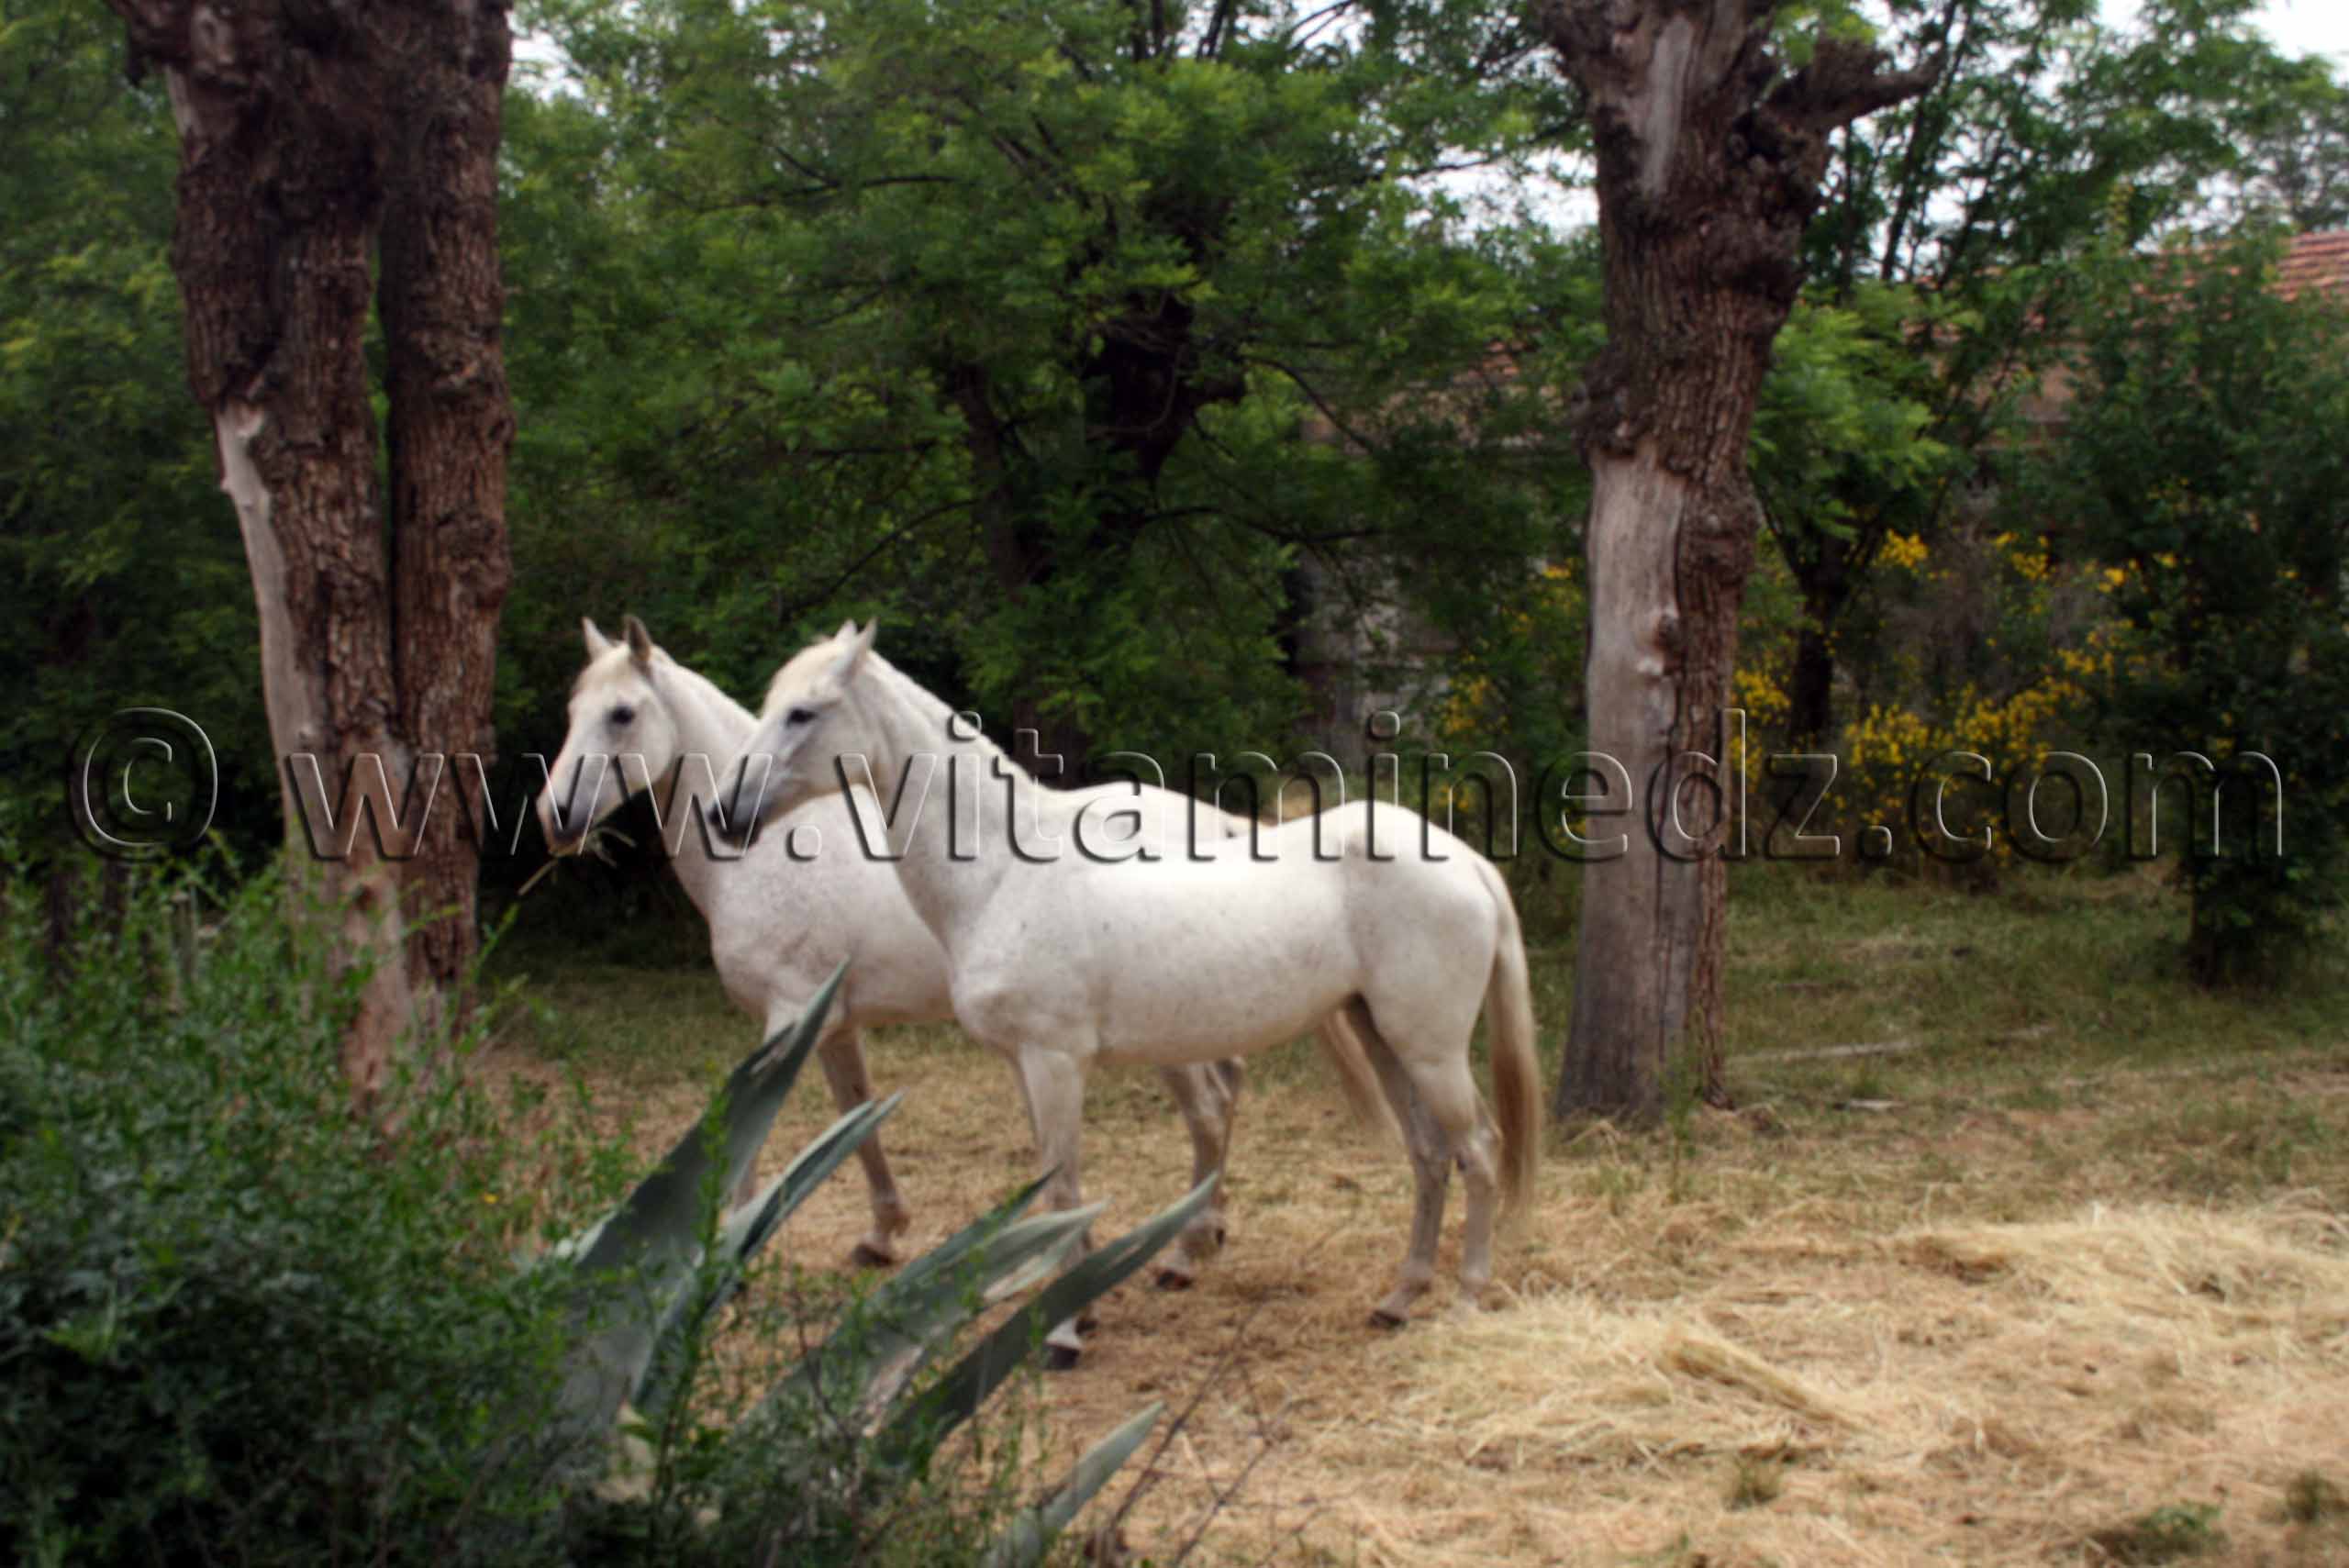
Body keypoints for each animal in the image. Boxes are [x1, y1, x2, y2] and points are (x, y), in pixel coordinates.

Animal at [536, 616, 1383, 1282]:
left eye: (621, 714)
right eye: (574, 709)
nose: (555, 815)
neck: (776, 851)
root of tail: (1220, 824)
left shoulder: (788, 1017)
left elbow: (754, 1137)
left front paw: (724, 1265)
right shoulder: (833, 1023)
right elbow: (857, 1117)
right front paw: (882, 1232)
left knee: (1212, 1097)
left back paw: (1188, 1243)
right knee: (1224, 1088)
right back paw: (1203, 1229)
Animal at [716, 620, 1541, 1361]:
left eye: (803, 711)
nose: (725, 815)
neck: (1006, 871)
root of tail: (1467, 862)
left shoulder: (1054, 1060)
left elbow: (1063, 1189)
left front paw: (1061, 1335)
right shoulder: (1023, 1063)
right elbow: (1051, 1187)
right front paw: (1075, 1308)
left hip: (1430, 1049)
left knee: (1478, 1149)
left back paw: (1465, 1299)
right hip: (1382, 1035)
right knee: (1429, 1155)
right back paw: (1399, 1297)